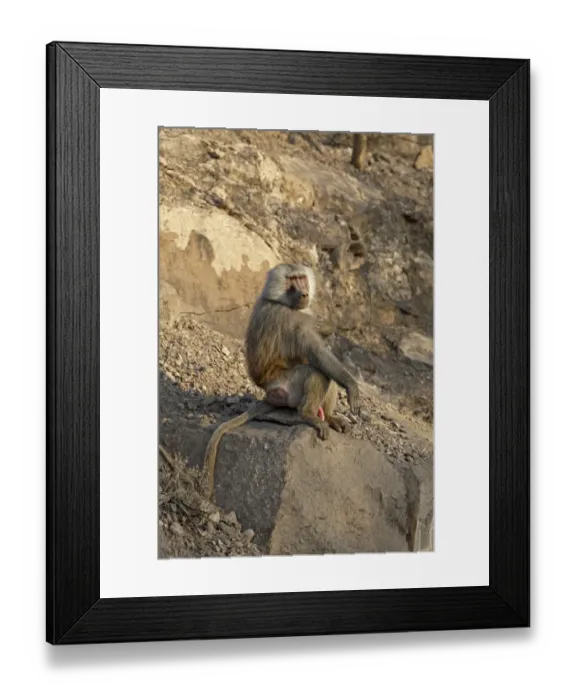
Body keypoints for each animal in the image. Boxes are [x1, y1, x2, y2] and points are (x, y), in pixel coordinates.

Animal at [202, 262, 361, 499]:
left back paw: (330, 418)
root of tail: (268, 393)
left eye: (302, 278)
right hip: (285, 387)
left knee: (325, 372)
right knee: (317, 371)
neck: (278, 300)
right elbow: (317, 352)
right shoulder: (290, 318)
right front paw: (352, 387)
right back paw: (308, 415)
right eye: (291, 280)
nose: (304, 293)